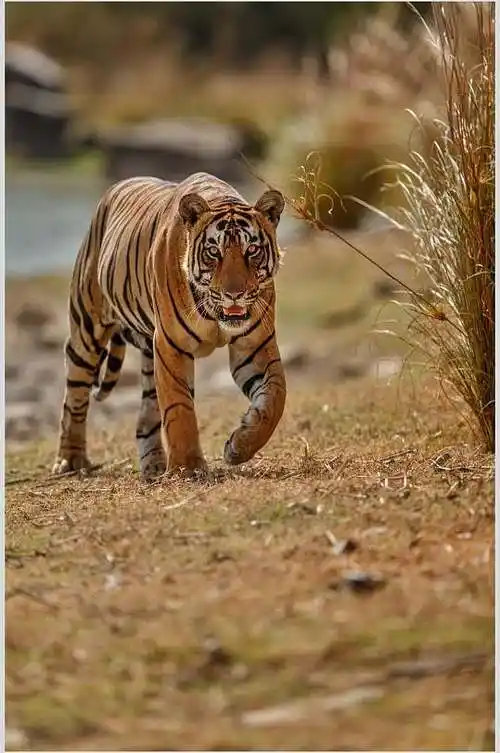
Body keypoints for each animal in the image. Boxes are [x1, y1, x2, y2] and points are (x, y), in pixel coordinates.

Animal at [52, 172, 287, 480]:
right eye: (214, 252)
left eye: (252, 250)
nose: (234, 294)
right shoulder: (170, 345)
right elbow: (179, 408)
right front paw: (188, 467)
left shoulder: (255, 346)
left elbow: (275, 397)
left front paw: (240, 446)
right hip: (87, 329)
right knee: (74, 397)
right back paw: (70, 461)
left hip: (147, 356)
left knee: (145, 419)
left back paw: (153, 466)